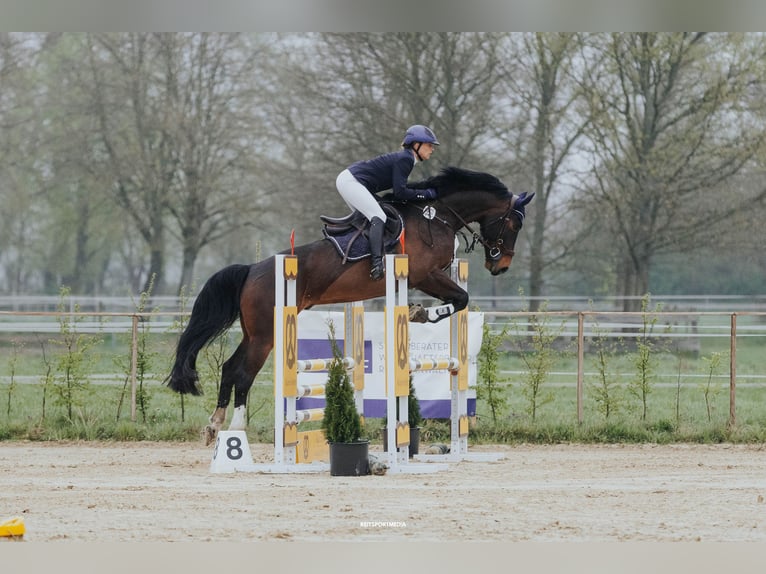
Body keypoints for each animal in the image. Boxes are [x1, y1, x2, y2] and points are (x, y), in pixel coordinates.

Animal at [166, 166, 533, 443]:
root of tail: (252, 270)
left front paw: (419, 312)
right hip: (266, 335)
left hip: (254, 332)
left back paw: (214, 426)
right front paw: (419, 313)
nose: (500, 266)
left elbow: (459, 299)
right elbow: (460, 299)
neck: (437, 216)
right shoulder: (423, 274)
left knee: (230, 368)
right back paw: (236, 429)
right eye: (514, 223)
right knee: (243, 373)